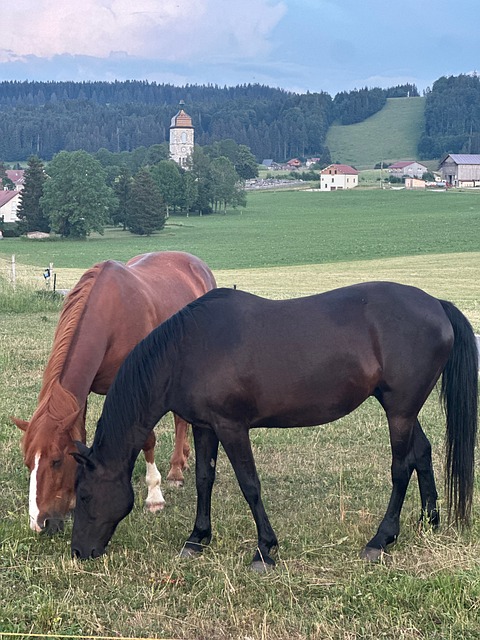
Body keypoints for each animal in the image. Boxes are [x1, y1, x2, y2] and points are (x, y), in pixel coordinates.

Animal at [13, 251, 216, 534]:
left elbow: (147, 439)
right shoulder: (82, 397)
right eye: (28, 463)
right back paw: (183, 460)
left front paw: (154, 496)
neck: (110, 316)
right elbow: (81, 435)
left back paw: (176, 470)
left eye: (55, 461)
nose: (39, 523)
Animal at [70, 282, 478, 569]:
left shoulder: (232, 427)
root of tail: (436, 304)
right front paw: (197, 539)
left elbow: (250, 485)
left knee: (401, 468)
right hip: (400, 408)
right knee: (422, 453)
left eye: (85, 496)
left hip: (399, 412)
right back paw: (429, 520)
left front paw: (264, 550)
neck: (188, 349)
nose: (78, 551)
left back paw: (380, 540)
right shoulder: (205, 427)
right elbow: (204, 478)